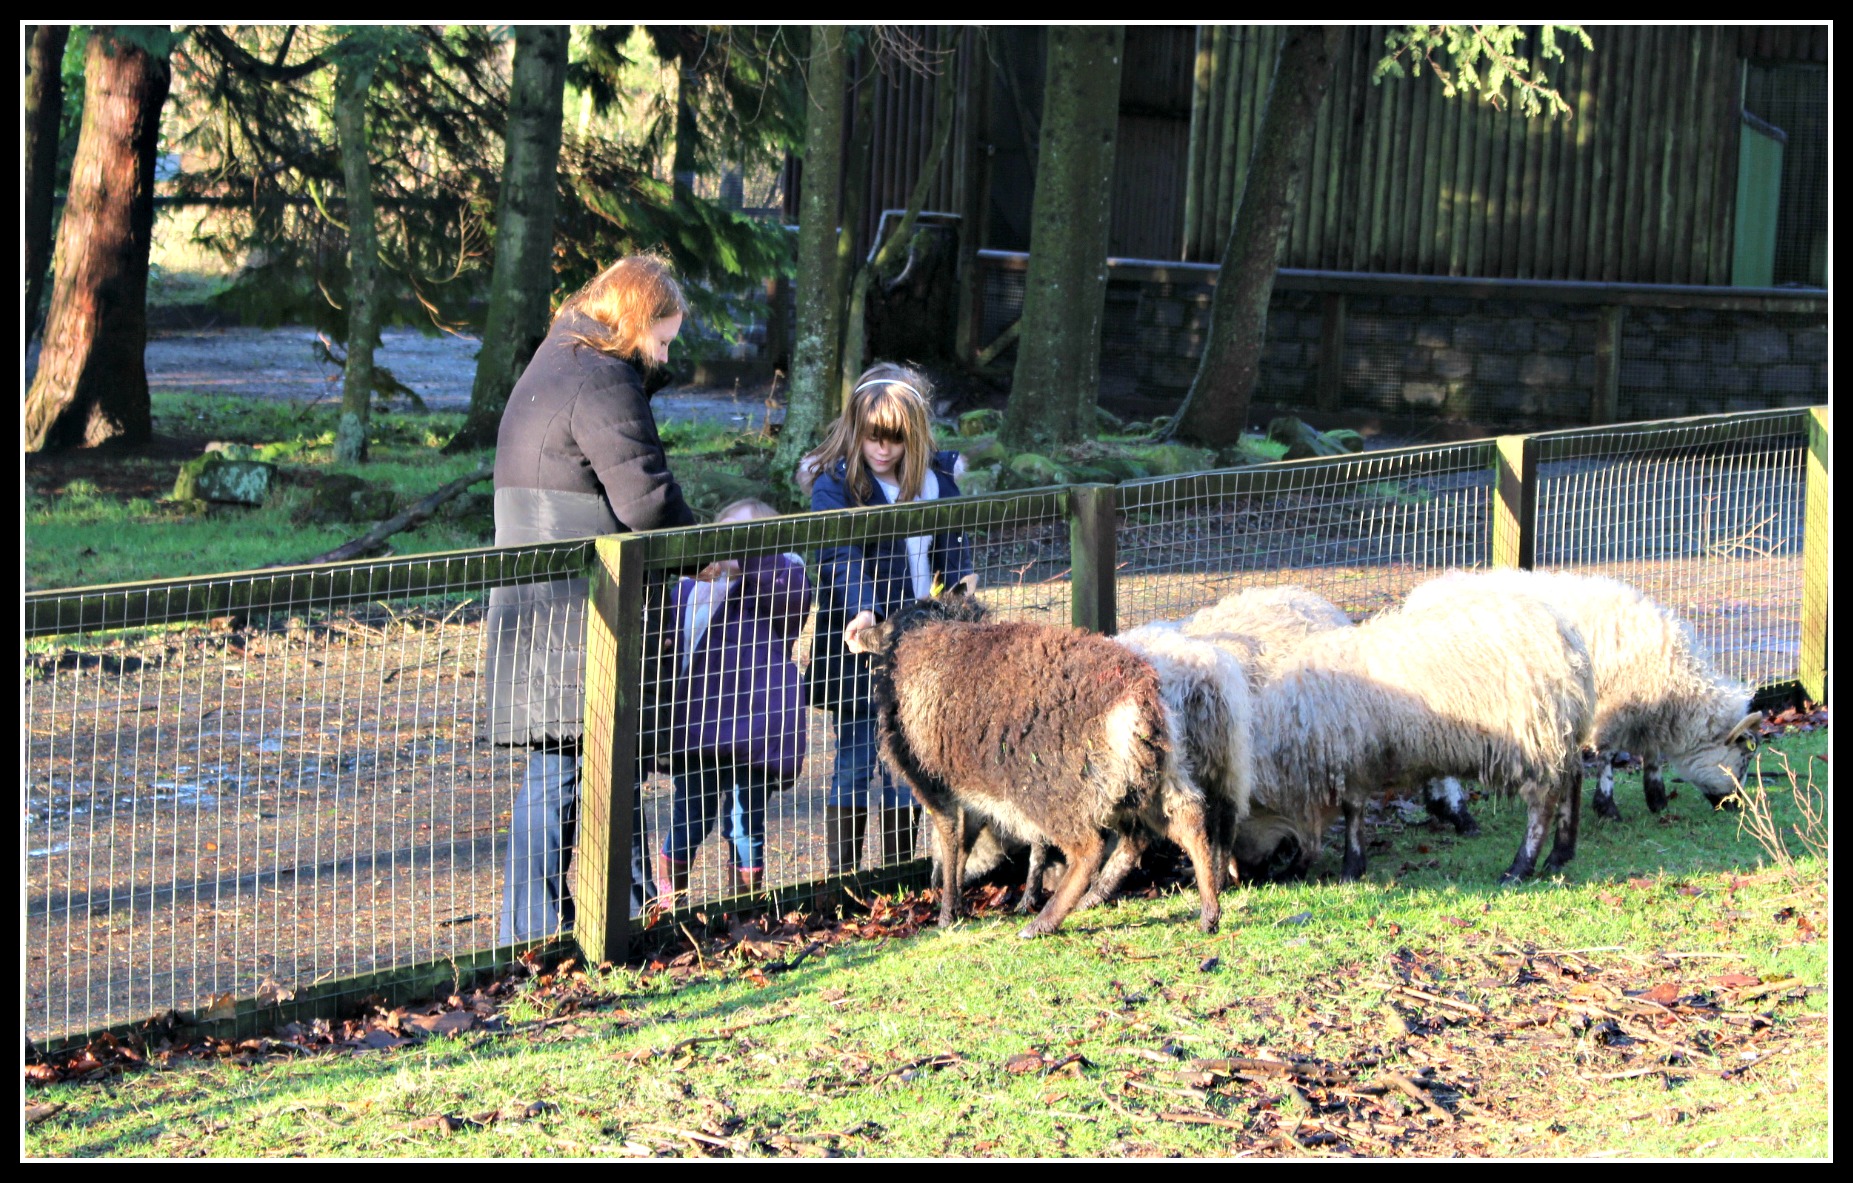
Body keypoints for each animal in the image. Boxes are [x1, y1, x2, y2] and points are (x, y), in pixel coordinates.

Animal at [856, 589, 1230, 941]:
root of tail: (1137, 699)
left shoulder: (932, 782)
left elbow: (949, 839)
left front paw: (947, 912)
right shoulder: (970, 790)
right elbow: (966, 841)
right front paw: (958, 902)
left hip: (1056, 790)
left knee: (1089, 849)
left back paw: (1042, 923)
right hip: (1156, 774)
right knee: (1186, 822)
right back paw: (1209, 912)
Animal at [1230, 589, 1593, 886]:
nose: (1246, 877)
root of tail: (1569, 640)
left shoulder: (1349, 758)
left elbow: (1349, 813)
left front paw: (1345, 868)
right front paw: (1308, 865)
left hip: (1535, 733)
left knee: (1542, 801)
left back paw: (1519, 868)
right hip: (1561, 731)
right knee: (1573, 778)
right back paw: (1560, 854)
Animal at [1408, 571, 1756, 819]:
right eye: (1744, 760)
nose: (1737, 807)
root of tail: (1419, 596)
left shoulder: (1646, 711)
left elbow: (1653, 755)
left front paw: (1656, 798)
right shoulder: (1614, 708)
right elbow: (1607, 755)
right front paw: (1607, 806)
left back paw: (1440, 807)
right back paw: (1459, 814)